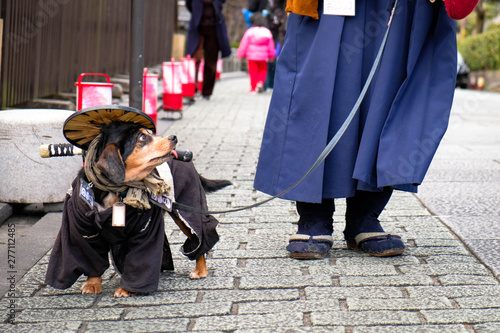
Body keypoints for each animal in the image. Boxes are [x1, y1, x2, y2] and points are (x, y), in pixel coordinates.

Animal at [44, 118, 231, 296]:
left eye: (151, 133)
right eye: (142, 137)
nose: (173, 138)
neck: (117, 190)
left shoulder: (145, 229)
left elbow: (139, 260)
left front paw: (127, 289)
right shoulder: (83, 231)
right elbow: (90, 258)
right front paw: (92, 284)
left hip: (185, 208)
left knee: (198, 236)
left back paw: (200, 270)